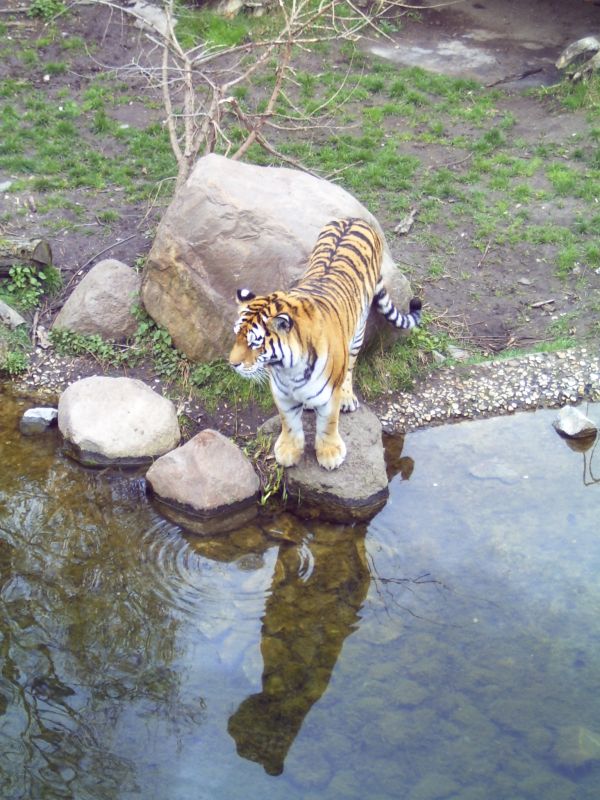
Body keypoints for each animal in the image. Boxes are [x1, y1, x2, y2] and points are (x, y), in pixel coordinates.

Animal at [230, 216, 422, 472]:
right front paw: (288, 451)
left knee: (350, 368)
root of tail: (355, 218)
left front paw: (330, 454)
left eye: (254, 343)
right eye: (237, 336)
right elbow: (289, 422)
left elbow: (328, 424)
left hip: (357, 333)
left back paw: (347, 399)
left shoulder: (329, 396)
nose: (232, 364)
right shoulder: (282, 393)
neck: (287, 368)